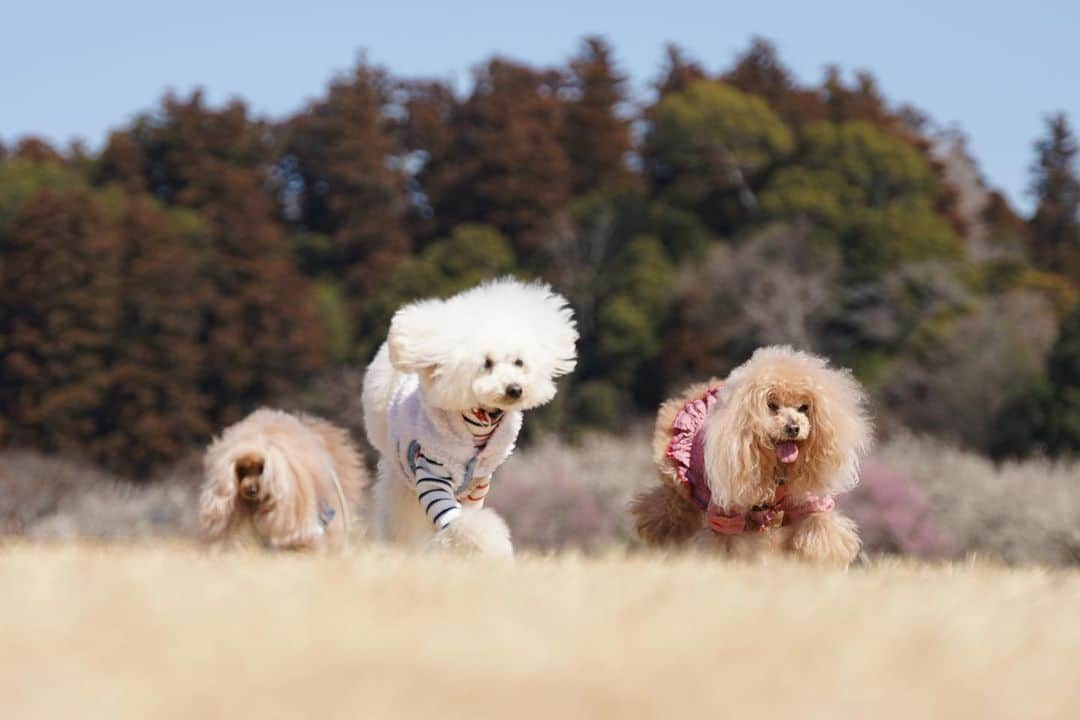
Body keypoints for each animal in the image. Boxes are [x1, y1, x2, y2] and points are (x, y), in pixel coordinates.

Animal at [362, 278, 578, 557]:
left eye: (519, 362)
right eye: (486, 363)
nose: (514, 389)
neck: (479, 423)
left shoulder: (478, 484)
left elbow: (467, 517)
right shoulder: (432, 472)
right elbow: (463, 524)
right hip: (402, 479)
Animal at [630, 345, 868, 565]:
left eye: (803, 407)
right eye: (771, 406)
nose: (793, 427)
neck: (775, 467)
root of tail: (704, 389)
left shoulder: (807, 501)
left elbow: (820, 529)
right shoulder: (726, 510)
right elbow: (726, 542)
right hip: (679, 479)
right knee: (668, 504)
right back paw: (658, 530)